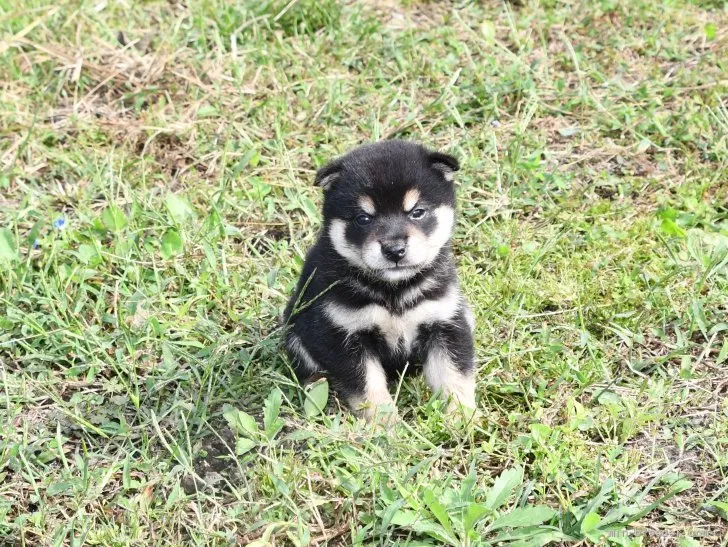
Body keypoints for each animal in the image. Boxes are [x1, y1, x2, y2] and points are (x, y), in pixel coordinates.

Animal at [284, 140, 478, 420]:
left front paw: (462, 418)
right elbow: (369, 388)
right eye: (363, 218)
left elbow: (455, 376)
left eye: (417, 212)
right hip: (295, 331)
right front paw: (385, 424)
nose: (394, 250)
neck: (394, 291)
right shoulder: (344, 336)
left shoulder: (445, 322)